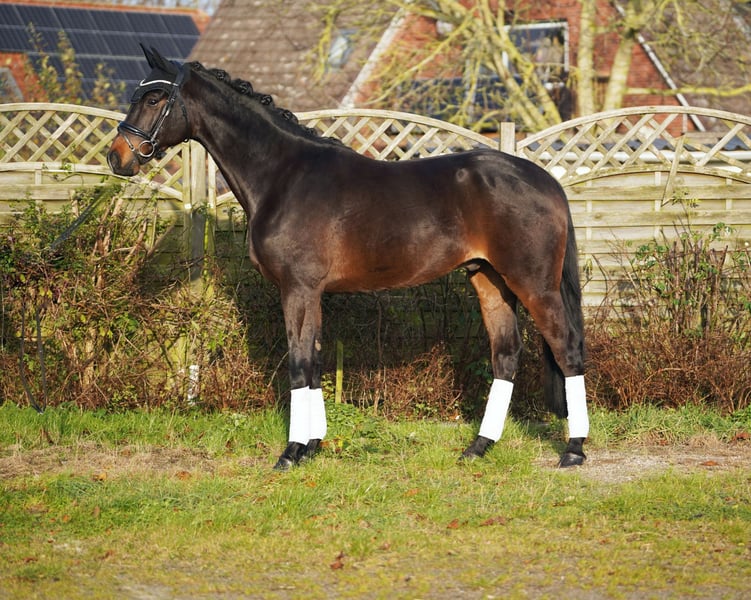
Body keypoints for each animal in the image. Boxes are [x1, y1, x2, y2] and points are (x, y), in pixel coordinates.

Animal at [108, 46, 589, 471]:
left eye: (154, 98)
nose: (118, 157)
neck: (284, 176)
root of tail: (545, 179)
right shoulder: (311, 292)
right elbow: (314, 362)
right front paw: (312, 446)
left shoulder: (298, 289)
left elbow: (299, 363)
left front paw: (291, 452)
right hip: (489, 279)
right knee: (506, 355)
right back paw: (479, 448)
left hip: (534, 283)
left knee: (567, 348)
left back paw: (574, 450)